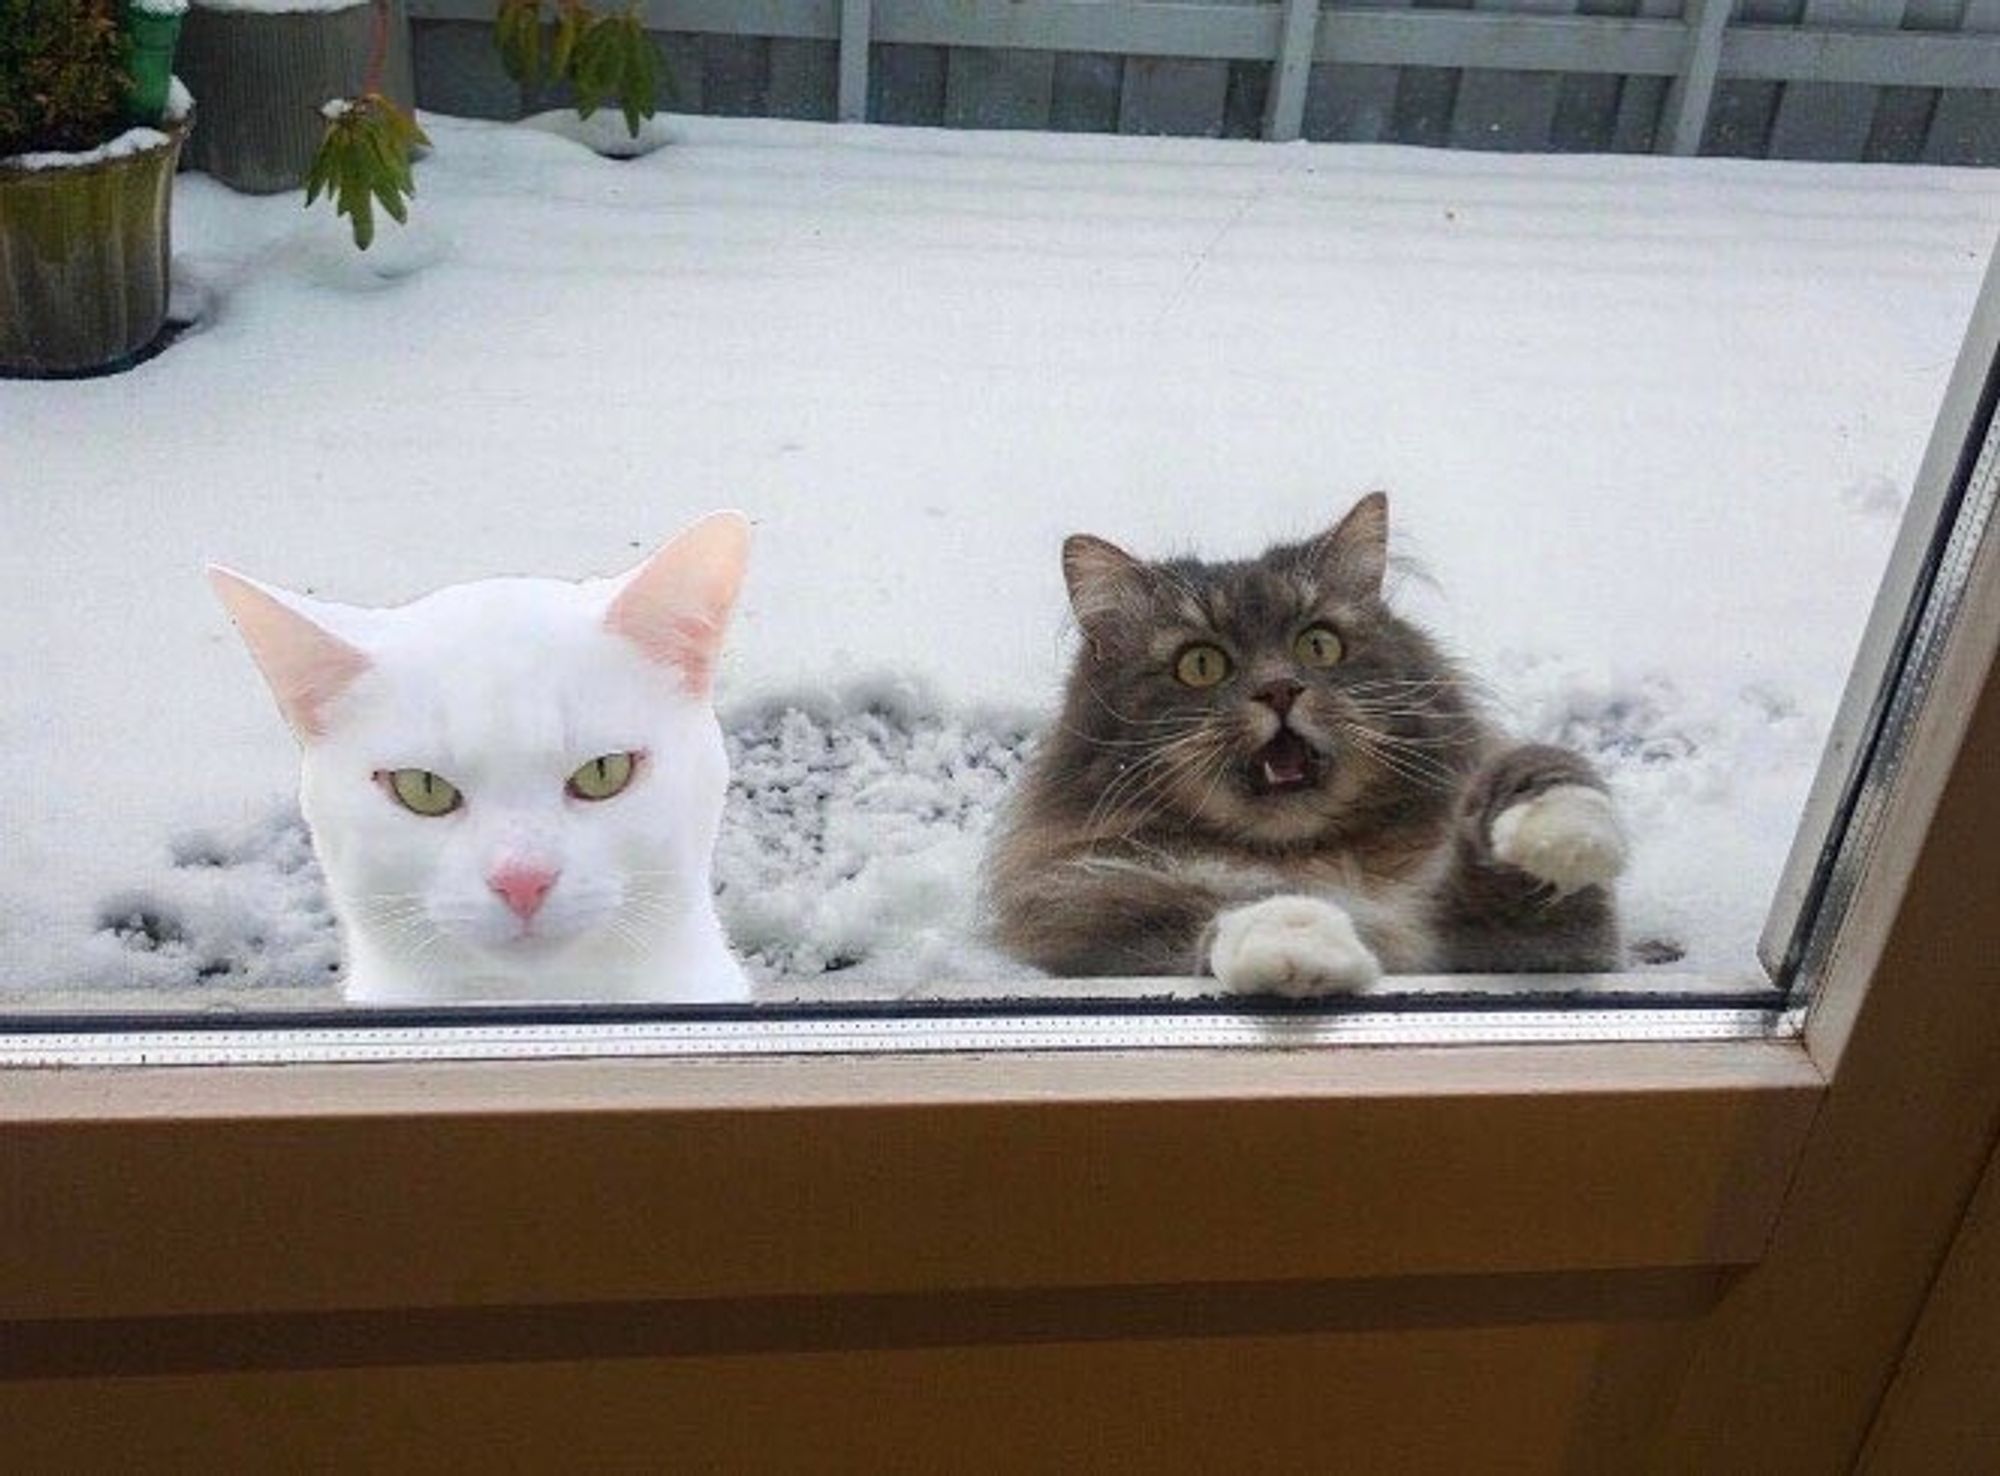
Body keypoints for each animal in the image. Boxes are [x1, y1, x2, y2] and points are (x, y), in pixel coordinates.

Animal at [984, 492, 1624, 988]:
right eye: (1200, 664)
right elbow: (1216, 928)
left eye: (1318, 645)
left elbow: (1531, 786)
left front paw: (1557, 825)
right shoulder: (1112, 946)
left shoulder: (1547, 948)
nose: (1280, 689)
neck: (1315, 861)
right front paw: (1292, 934)